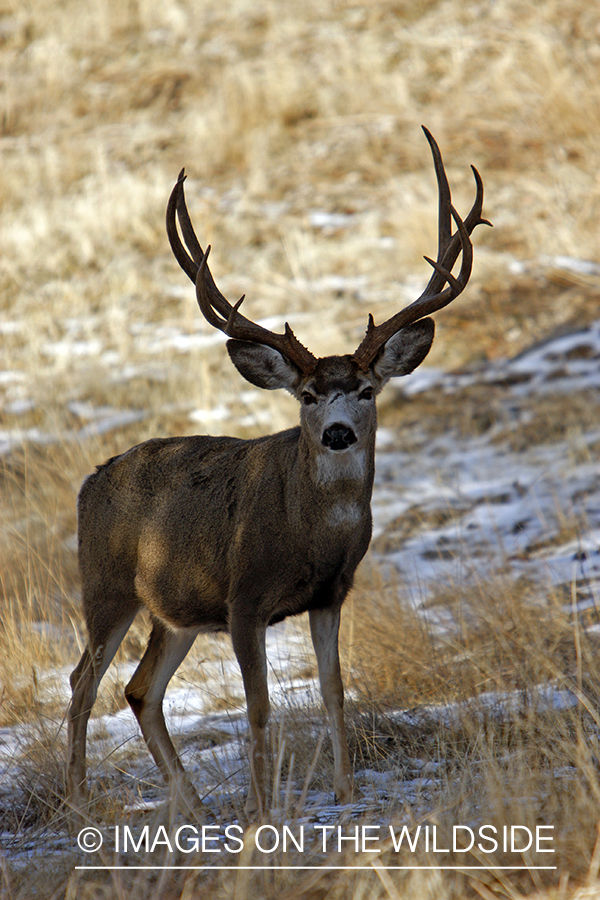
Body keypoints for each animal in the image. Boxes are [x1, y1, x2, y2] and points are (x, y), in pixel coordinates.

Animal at [66, 128, 489, 819]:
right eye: (308, 395)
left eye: (367, 390)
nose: (338, 432)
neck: (309, 536)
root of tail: (90, 481)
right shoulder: (244, 597)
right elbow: (259, 705)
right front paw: (262, 810)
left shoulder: (331, 593)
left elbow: (335, 689)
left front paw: (344, 791)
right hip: (105, 585)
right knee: (83, 680)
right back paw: (81, 803)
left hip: (173, 612)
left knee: (138, 689)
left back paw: (195, 808)